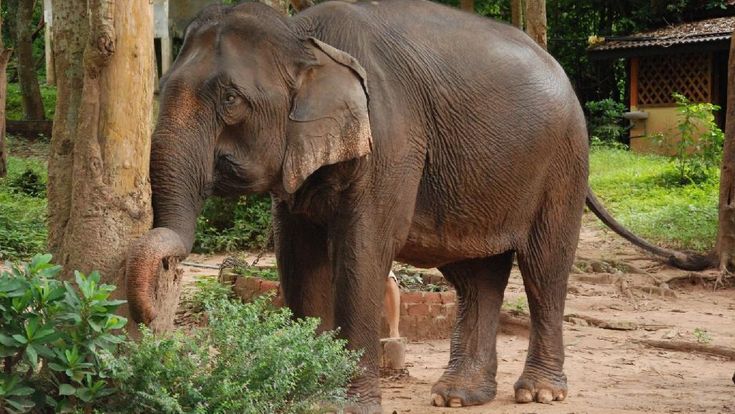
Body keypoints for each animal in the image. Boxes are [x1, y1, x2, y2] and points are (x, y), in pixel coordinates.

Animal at [125, 0, 709, 412]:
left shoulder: (393, 141)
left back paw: (539, 393)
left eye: (230, 100)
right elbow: (297, 260)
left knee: (544, 268)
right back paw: (457, 396)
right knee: (476, 277)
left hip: (562, 163)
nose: (153, 315)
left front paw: (344, 405)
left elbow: (361, 254)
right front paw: (308, 395)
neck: (305, 39)